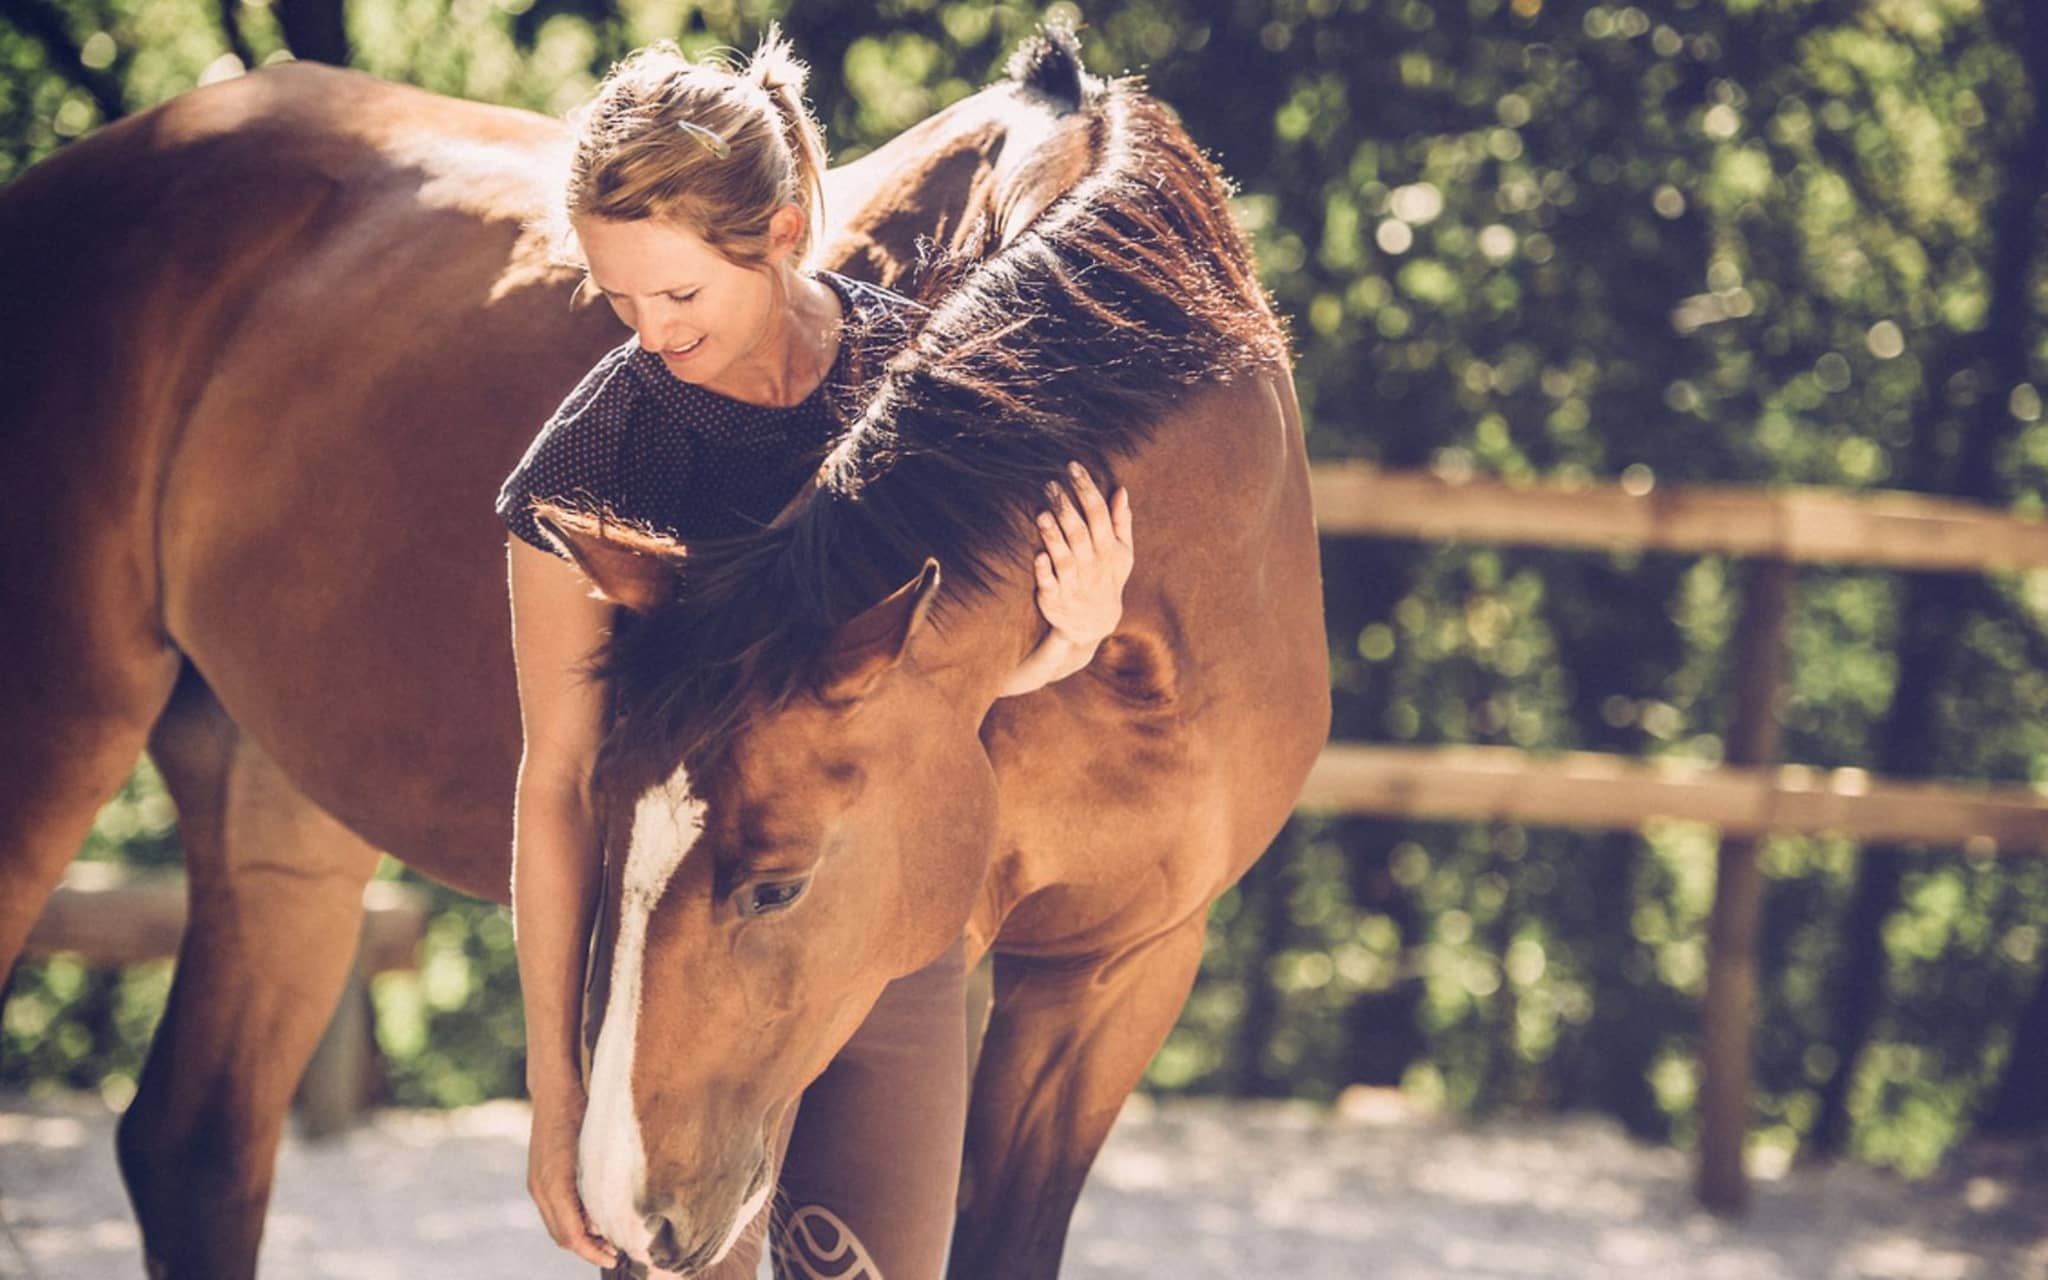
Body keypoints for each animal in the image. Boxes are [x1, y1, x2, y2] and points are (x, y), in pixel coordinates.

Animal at [0, 29, 1328, 1280]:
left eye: (777, 884)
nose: (627, 1206)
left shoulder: (1116, 975)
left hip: (276, 815)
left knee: (195, 1144)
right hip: (56, 739)